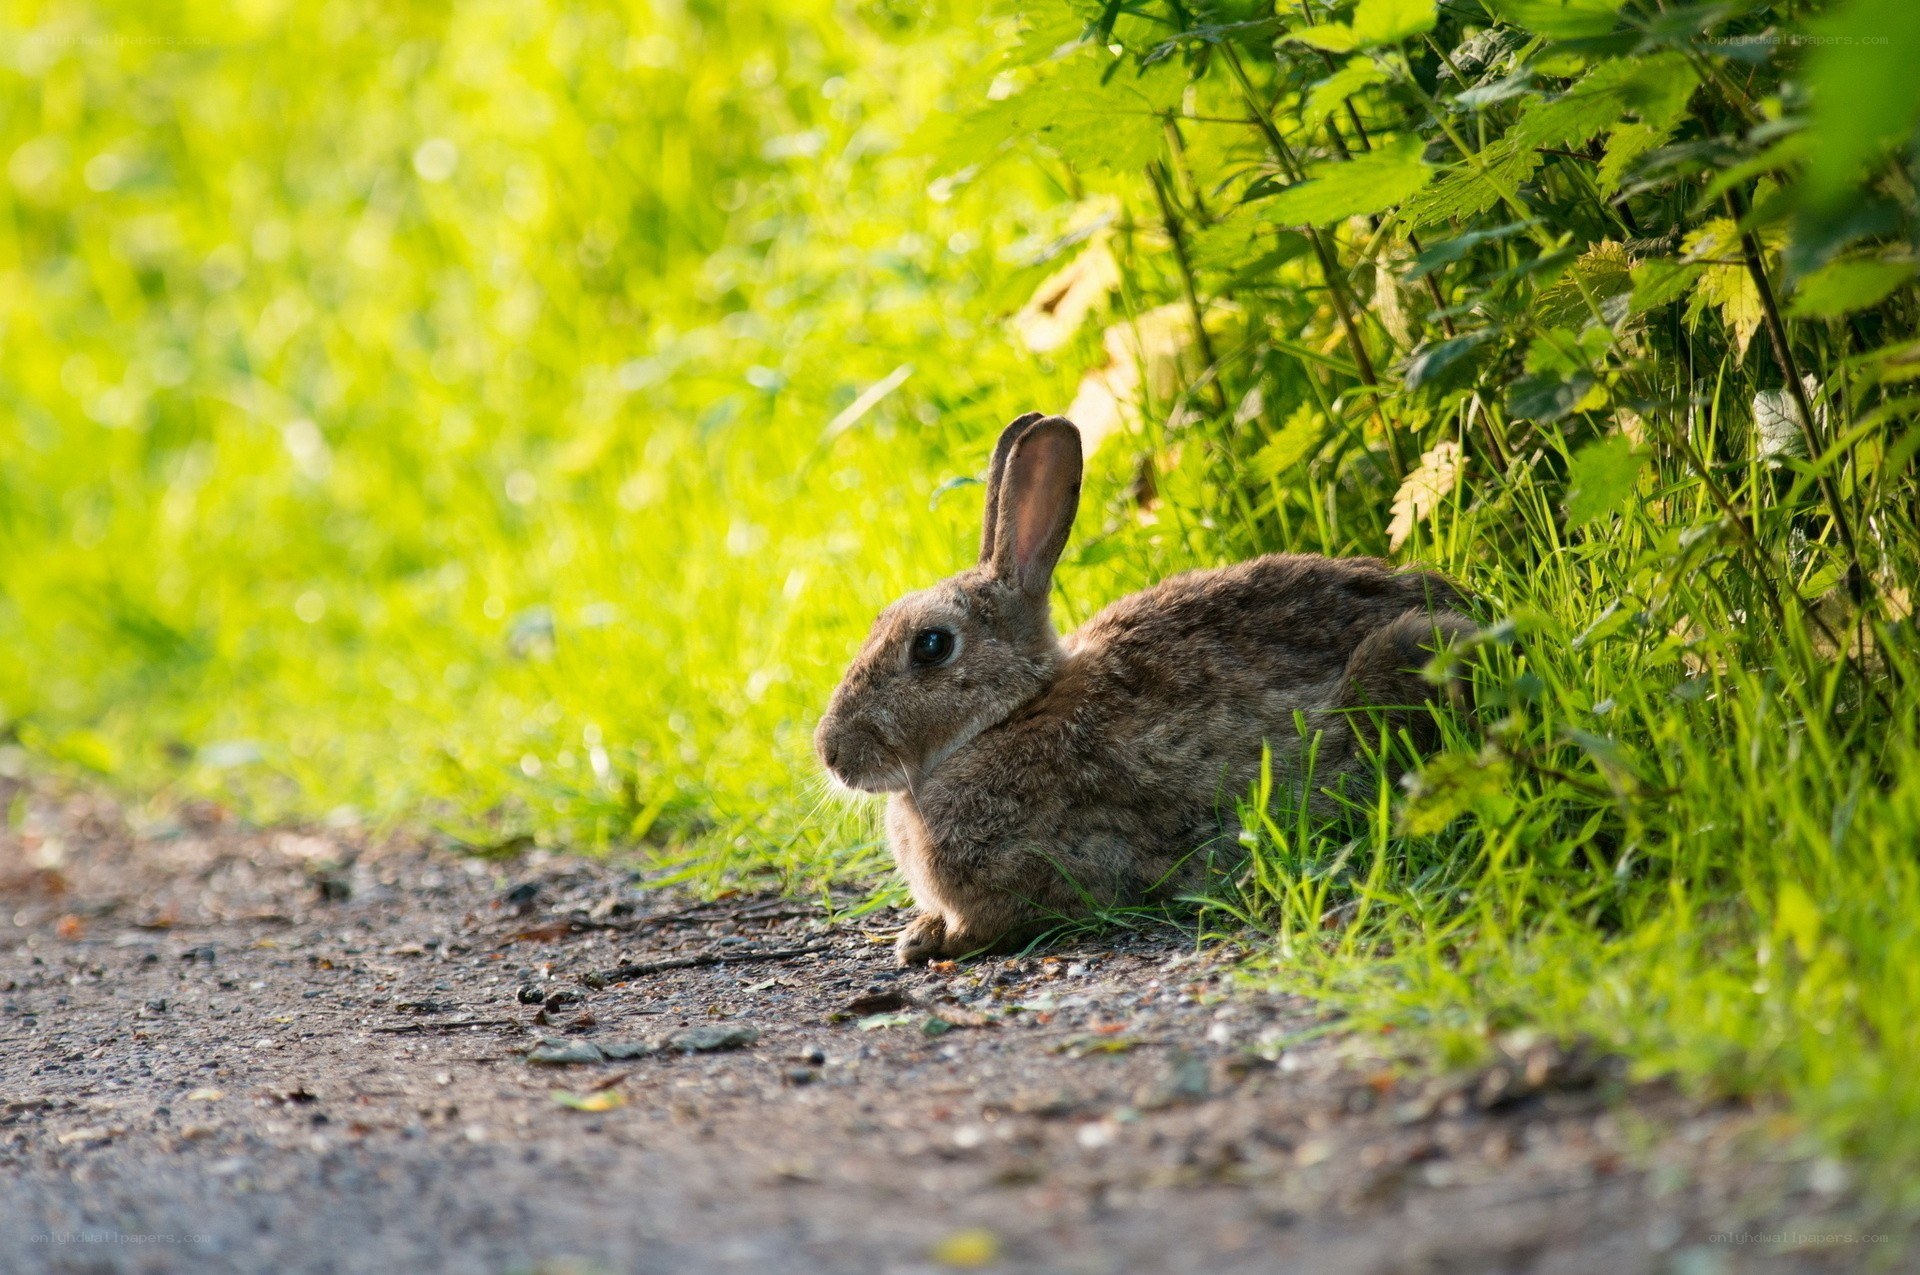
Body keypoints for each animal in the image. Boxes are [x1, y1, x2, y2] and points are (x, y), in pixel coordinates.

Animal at [814, 412, 1474, 966]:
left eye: (930, 645)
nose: (831, 753)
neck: (1015, 714)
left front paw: (926, 942)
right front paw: (917, 932)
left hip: (1410, 660)